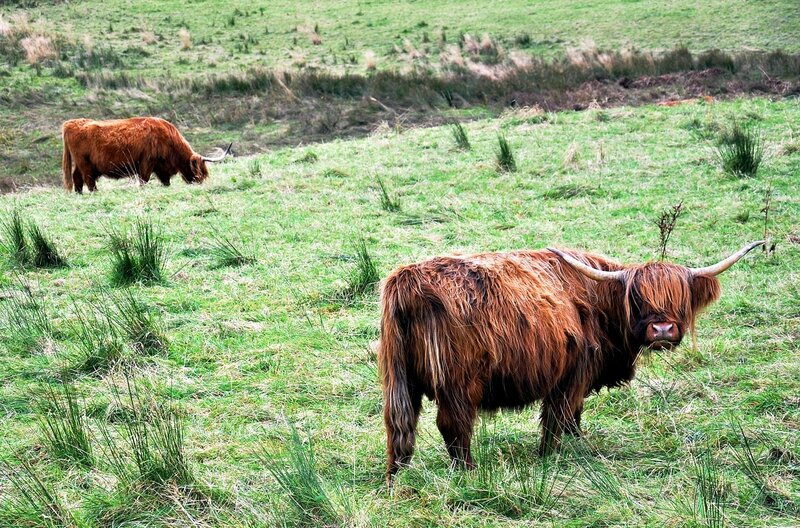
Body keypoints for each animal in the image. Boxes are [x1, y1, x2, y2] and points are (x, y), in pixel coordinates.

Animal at [61, 117, 231, 193]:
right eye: (199, 174)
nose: (200, 184)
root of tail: (71, 123)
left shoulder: (161, 169)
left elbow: (166, 182)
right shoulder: (147, 163)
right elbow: (144, 180)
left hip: (81, 164)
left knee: (77, 177)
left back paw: (79, 193)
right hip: (85, 164)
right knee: (89, 180)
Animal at [379, 241, 764, 482]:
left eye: (680, 298)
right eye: (637, 298)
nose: (662, 329)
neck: (600, 302)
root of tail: (407, 279)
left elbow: (572, 417)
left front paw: (578, 445)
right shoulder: (573, 373)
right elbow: (559, 416)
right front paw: (549, 456)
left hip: (398, 379)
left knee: (399, 425)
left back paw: (397, 477)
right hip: (459, 382)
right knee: (453, 426)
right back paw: (469, 473)